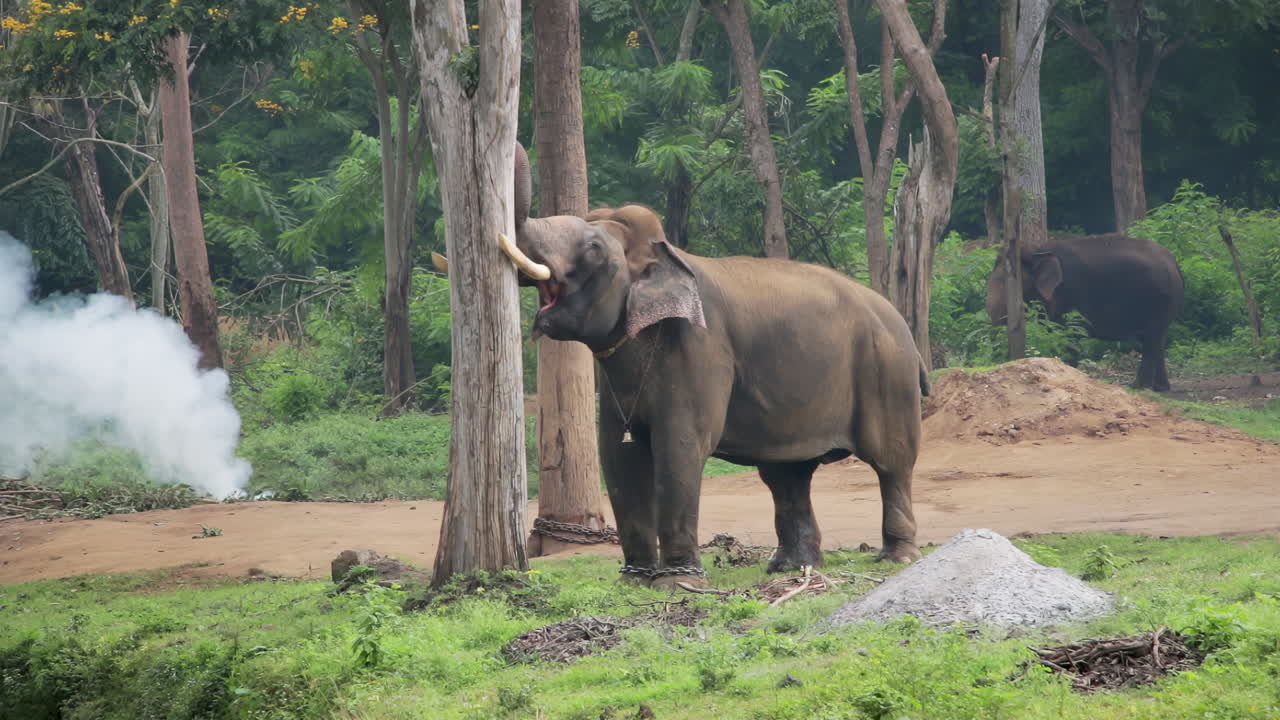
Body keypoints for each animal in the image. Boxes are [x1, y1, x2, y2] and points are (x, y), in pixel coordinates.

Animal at [457, 145, 931, 590]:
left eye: (592, 249)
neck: (666, 256)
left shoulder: (699, 346)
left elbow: (679, 448)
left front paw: (676, 582)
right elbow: (619, 454)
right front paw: (635, 579)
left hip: (887, 371)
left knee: (891, 461)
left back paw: (896, 557)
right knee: (786, 474)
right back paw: (789, 567)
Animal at [985, 234, 1184, 391]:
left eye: (1008, 283)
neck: (1040, 249)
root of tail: (1175, 262)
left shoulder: (1070, 291)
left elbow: (1070, 333)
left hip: (1158, 300)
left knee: (1151, 339)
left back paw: (1138, 387)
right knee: (1156, 340)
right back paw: (1160, 388)